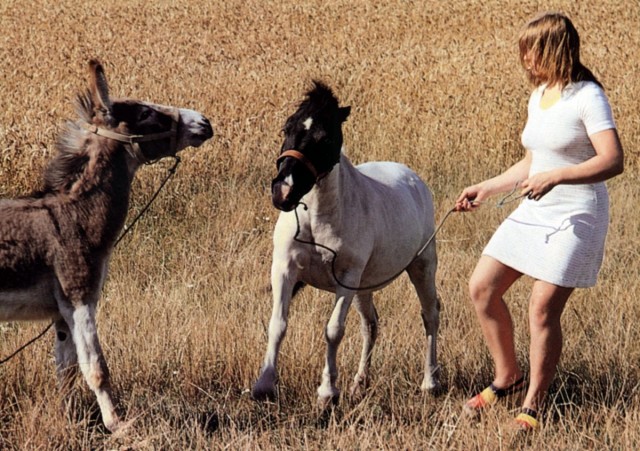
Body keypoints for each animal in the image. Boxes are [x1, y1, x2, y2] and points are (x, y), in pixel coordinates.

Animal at [0, 58, 214, 432]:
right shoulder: (79, 296)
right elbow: (97, 369)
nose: (204, 122)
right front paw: (118, 425)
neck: (74, 214)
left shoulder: (61, 313)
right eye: (145, 113)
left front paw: (66, 420)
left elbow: (67, 371)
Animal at [252, 82, 442, 410]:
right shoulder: (284, 269)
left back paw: (429, 383)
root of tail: (414, 180)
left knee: (430, 314)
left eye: (325, 137)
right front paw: (263, 386)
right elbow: (278, 324)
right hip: (364, 287)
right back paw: (359, 383)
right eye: (286, 128)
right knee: (371, 324)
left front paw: (327, 393)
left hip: (421, 266)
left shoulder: (346, 278)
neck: (316, 221)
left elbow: (333, 331)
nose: (283, 192)